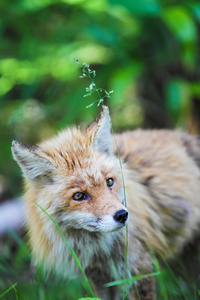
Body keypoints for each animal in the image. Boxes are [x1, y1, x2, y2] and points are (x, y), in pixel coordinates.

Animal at [11, 105, 200, 298]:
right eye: (78, 196)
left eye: (109, 182)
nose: (122, 215)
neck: (98, 251)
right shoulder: (99, 278)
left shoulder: (139, 269)